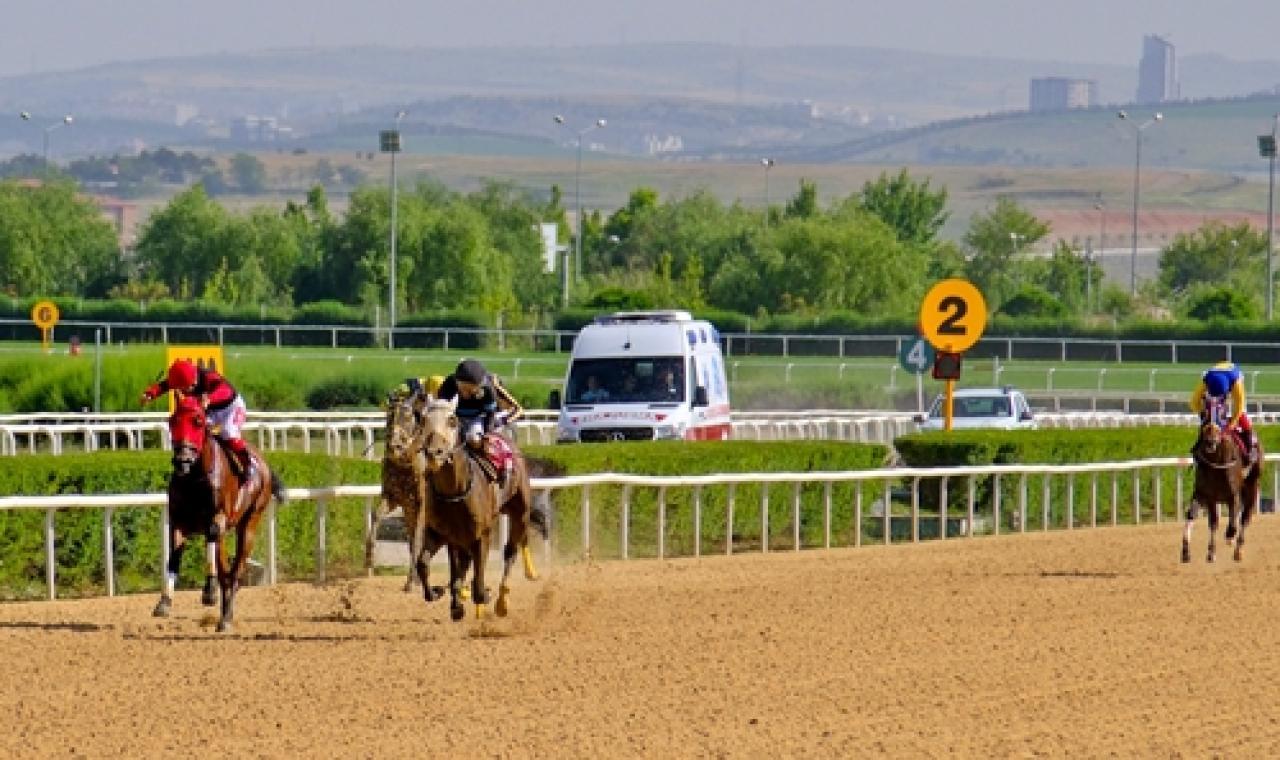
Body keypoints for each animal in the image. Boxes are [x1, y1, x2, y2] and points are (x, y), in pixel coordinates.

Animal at [152, 394, 285, 629]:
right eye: (172, 421)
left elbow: (212, 536)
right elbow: (174, 557)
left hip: (250, 522)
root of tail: (263, 464)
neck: (194, 478)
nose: (182, 461)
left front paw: (209, 592)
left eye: (198, 421)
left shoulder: (217, 519)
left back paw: (226, 617)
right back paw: (224, 614)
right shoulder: (179, 521)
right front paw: (164, 602)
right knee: (227, 574)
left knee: (236, 572)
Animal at [409, 396, 545, 621]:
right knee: (463, 564)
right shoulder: (440, 534)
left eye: (452, 420)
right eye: (423, 419)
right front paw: (440, 594)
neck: (455, 493)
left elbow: (479, 589)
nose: (435, 453)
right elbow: (423, 564)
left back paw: (502, 600)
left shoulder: (482, 535)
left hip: (520, 512)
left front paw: (482, 595)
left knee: (510, 552)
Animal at [1177, 396, 1259, 562]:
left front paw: (1228, 538)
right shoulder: (1206, 495)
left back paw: (1238, 549)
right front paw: (1191, 551)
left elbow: (1232, 523)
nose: (1210, 441)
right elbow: (1206, 519)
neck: (1217, 463)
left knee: (1245, 517)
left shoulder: (1233, 495)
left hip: (1251, 486)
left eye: (1221, 413)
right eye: (1204, 413)